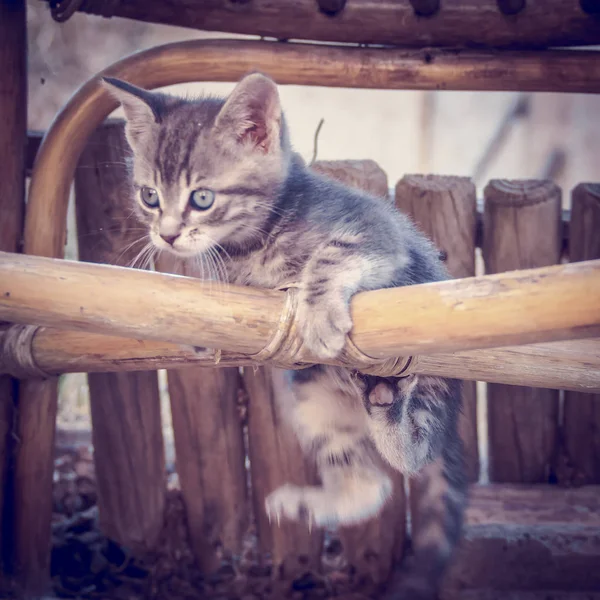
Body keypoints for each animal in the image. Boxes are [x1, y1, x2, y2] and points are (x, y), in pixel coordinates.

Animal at [103, 74, 468, 596]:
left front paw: (318, 311)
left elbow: (331, 256)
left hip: (429, 380)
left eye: (202, 198)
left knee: (418, 456)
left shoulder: (379, 231)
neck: (253, 240)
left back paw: (393, 411)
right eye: (149, 196)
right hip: (312, 397)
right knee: (373, 485)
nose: (167, 235)